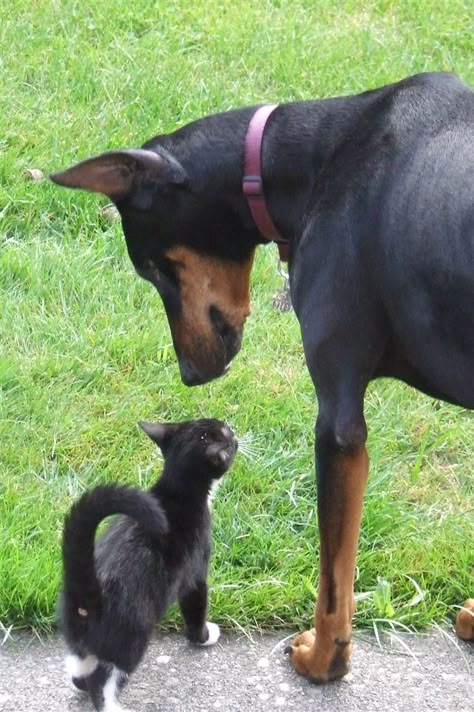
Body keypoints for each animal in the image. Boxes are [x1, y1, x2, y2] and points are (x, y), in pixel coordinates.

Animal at [59, 420, 237, 708]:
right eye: (225, 435)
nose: (233, 428)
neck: (179, 490)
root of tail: (86, 594)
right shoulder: (195, 571)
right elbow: (195, 607)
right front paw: (204, 636)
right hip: (130, 638)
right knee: (103, 680)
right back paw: (113, 706)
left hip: (77, 635)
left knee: (81, 668)